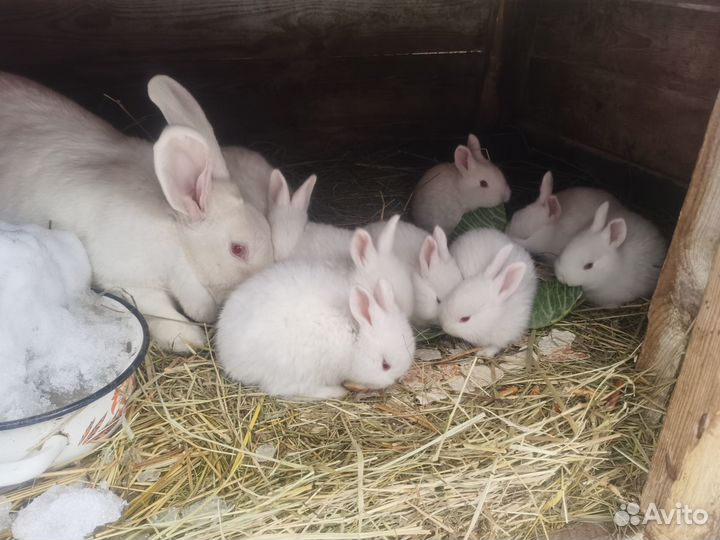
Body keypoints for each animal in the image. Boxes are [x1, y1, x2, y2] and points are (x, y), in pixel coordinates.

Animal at [215, 263, 415, 400]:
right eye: (385, 365)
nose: (396, 379)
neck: (354, 336)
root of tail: (227, 354)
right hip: (300, 366)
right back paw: (336, 391)